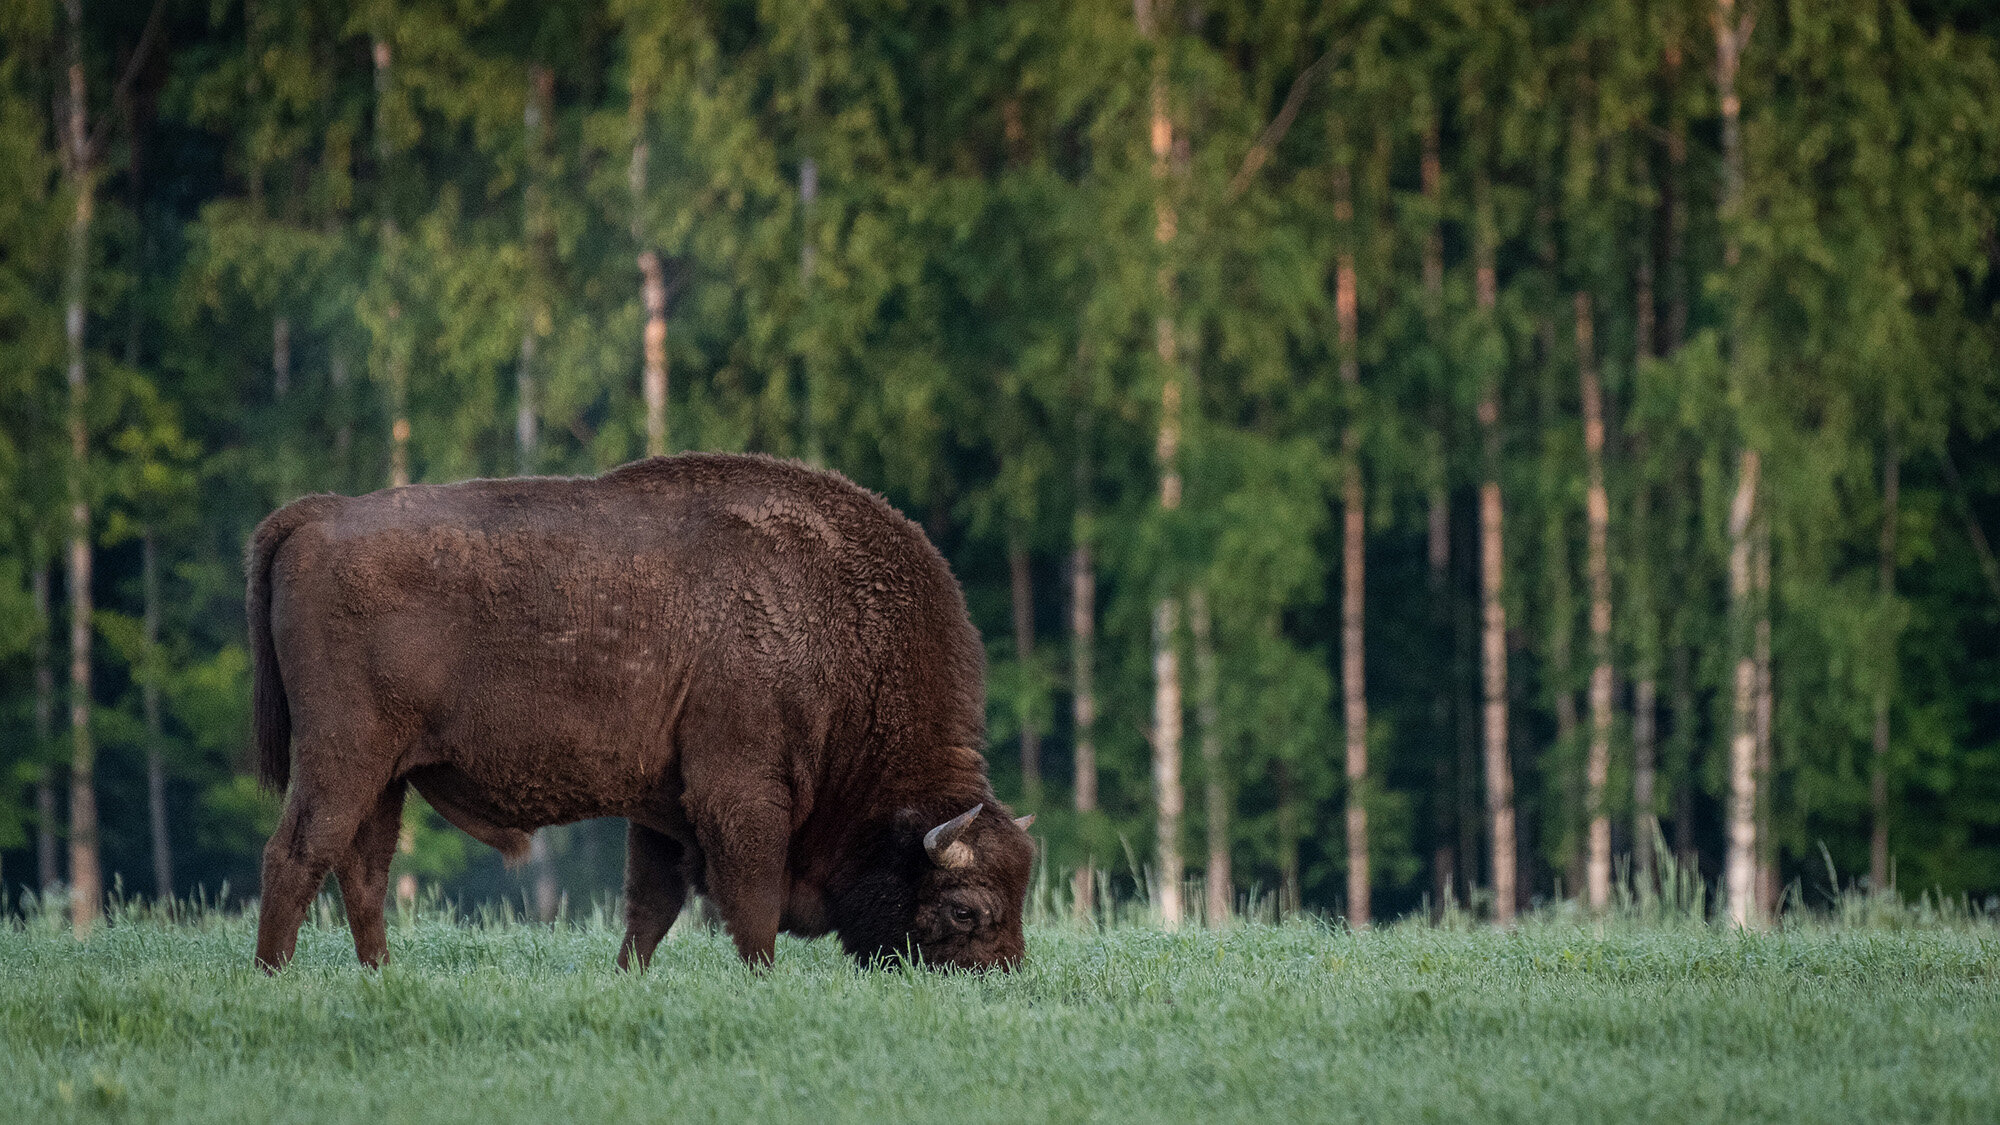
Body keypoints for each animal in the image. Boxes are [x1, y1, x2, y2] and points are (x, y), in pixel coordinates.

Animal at [246, 450, 1032, 968]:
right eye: (966, 909)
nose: (1001, 976)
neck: (837, 628)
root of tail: (319, 513)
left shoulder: (665, 808)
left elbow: (651, 907)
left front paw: (629, 977)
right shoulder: (740, 796)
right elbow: (750, 906)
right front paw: (761, 978)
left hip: (386, 777)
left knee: (363, 871)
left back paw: (378, 975)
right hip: (343, 757)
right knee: (297, 854)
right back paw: (274, 975)